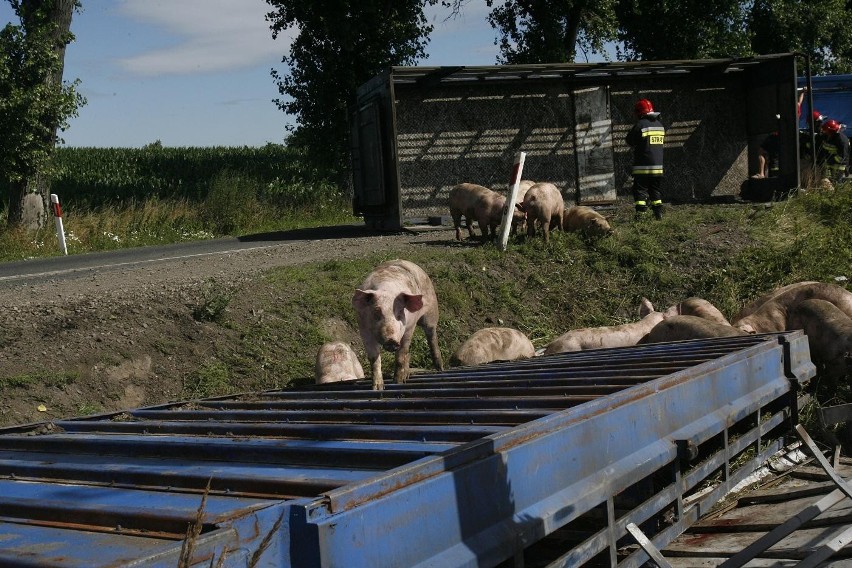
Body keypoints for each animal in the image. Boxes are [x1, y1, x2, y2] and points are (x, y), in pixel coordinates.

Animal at [352, 260, 446, 390]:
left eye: (400, 313)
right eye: (376, 312)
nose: (391, 340)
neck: (387, 288)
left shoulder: (409, 328)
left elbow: (401, 353)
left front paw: (398, 382)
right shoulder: (363, 329)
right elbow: (374, 358)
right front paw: (377, 388)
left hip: (431, 312)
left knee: (432, 336)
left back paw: (440, 369)